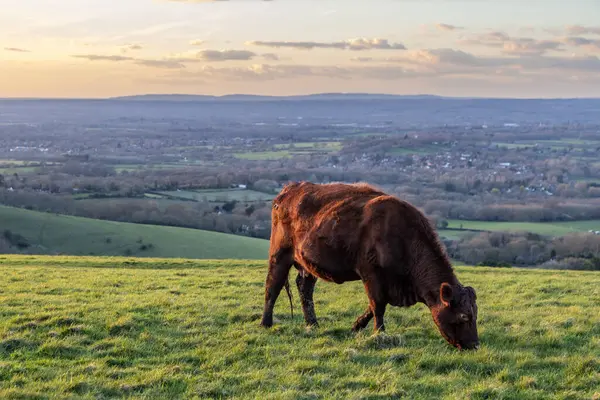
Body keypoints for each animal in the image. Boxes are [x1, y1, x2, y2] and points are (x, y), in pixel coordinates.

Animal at [260, 181, 480, 350]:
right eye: (463, 316)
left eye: (475, 314)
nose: (475, 345)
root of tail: (289, 189)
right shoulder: (371, 273)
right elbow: (378, 304)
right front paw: (379, 333)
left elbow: (373, 306)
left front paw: (356, 327)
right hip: (280, 254)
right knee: (273, 286)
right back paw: (266, 323)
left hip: (308, 264)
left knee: (305, 289)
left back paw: (312, 323)